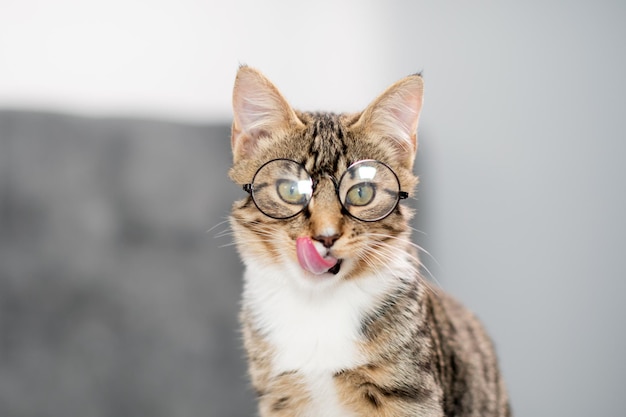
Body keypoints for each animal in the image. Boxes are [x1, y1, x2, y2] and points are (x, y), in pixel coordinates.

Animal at [227, 66, 510, 416]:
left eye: (361, 192)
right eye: (291, 190)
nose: (326, 236)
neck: (317, 306)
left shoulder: (411, 394)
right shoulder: (280, 395)